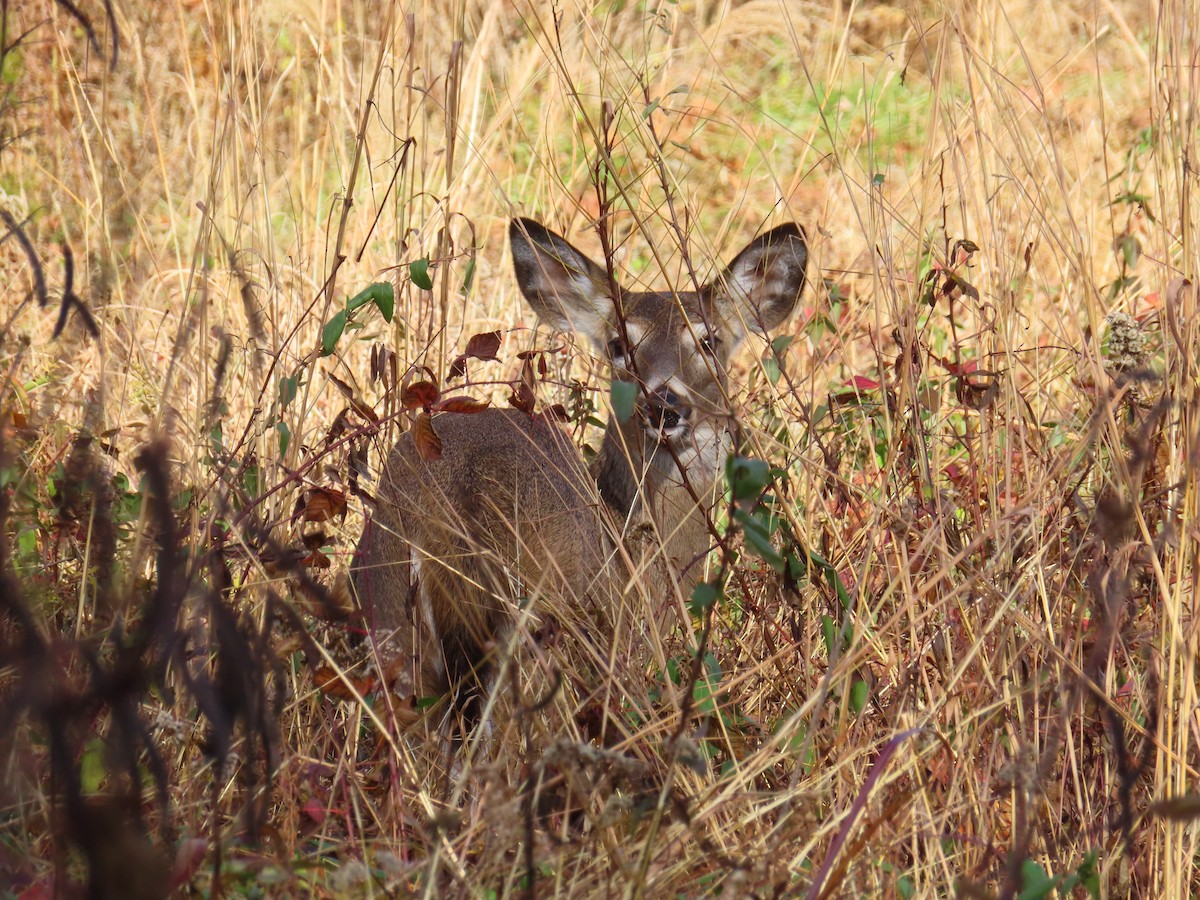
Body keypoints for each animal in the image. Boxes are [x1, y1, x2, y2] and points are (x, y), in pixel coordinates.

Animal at [352, 216, 808, 735]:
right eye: (618, 345)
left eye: (709, 340)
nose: (664, 405)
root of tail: (455, 502)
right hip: (538, 622)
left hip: (389, 607)